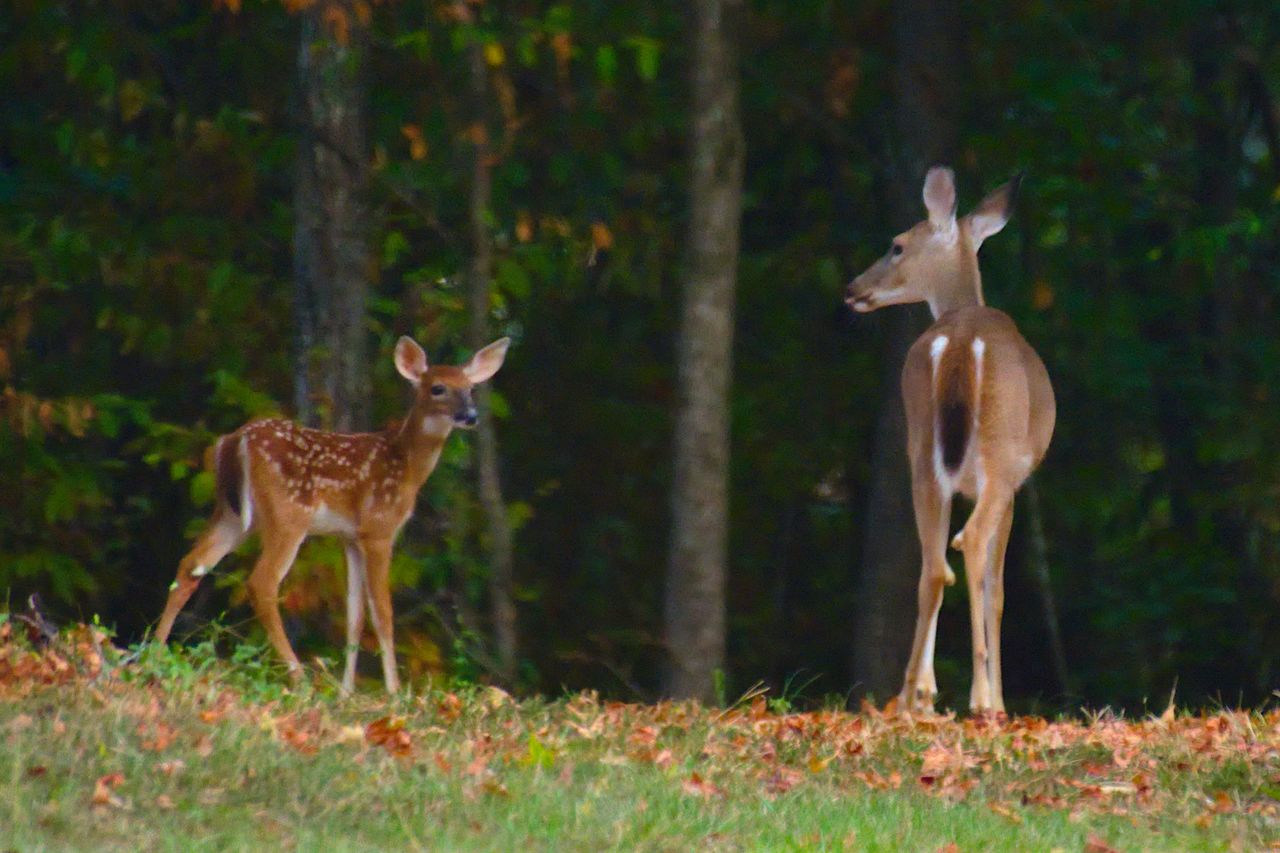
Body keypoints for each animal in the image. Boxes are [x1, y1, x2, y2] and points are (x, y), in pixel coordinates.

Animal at [160, 333, 514, 691]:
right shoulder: (379, 529)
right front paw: (394, 691)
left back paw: (156, 648)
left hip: (232, 514)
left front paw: (346, 691)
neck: (407, 466)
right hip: (288, 514)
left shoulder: (350, 537)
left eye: (470, 388)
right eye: (438, 387)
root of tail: (235, 441)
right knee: (262, 582)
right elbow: (382, 612)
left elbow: (354, 614)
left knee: (191, 564)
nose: (470, 415)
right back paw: (299, 676)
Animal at [849, 166, 1049, 712]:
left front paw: (927, 690)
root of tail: (959, 340)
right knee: (971, 544)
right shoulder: (1017, 482)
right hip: (999, 456)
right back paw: (981, 700)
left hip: (920, 449)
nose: (852, 288)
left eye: (896, 246)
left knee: (933, 567)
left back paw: (907, 696)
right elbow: (996, 589)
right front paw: (995, 697)